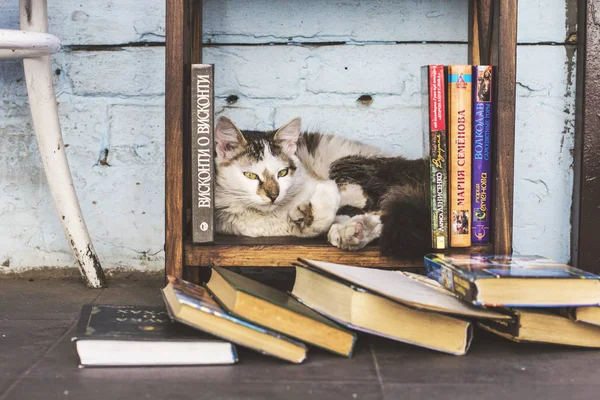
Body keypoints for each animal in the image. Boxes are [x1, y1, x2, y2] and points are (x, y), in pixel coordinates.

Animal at [216, 117, 432, 258]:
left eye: (282, 173)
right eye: (251, 175)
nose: (273, 194)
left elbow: (326, 209)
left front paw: (315, 202)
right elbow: (317, 223)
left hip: (345, 165)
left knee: (376, 205)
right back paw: (356, 231)